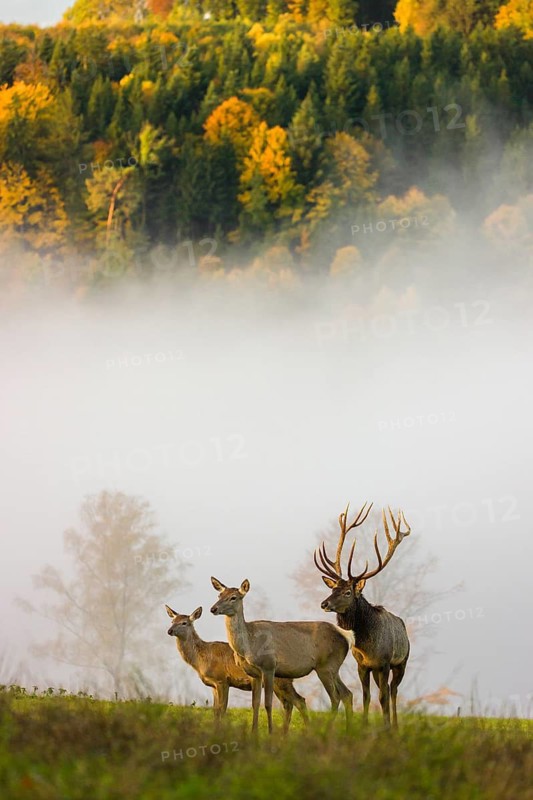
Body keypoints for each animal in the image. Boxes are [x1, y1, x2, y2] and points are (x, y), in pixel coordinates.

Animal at [165, 604, 309, 732]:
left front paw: (220, 732)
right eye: (172, 621)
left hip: (281, 681)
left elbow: (222, 709)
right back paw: (284, 733)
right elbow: (215, 710)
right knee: (288, 704)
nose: (169, 631)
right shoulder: (213, 685)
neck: (202, 659)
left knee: (299, 701)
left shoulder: (222, 680)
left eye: (184, 623)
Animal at [210, 577, 354, 734]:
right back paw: (349, 730)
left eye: (233, 597)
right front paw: (253, 732)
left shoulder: (269, 666)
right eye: (219, 595)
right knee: (347, 694)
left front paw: (270, 732)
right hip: (334, 668)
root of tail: (346, 636)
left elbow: (268, 703)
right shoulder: (253, 673)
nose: (213, 609)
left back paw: (327, 730)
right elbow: (255, 703)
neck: (248, 645)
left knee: (335, 697)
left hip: (325, 666)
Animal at [314, 501, 411, 730]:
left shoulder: (384, 663)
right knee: (387, 690)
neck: (368, 647)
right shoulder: (363, 665)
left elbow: (382, 697)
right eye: (333, 588)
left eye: (348, 592)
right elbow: (366, 696)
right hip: (378, 671)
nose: (324, 603)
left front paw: (386, 728)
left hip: (402, 662)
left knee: (393, 691)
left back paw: (395, 725)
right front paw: (365, 725)